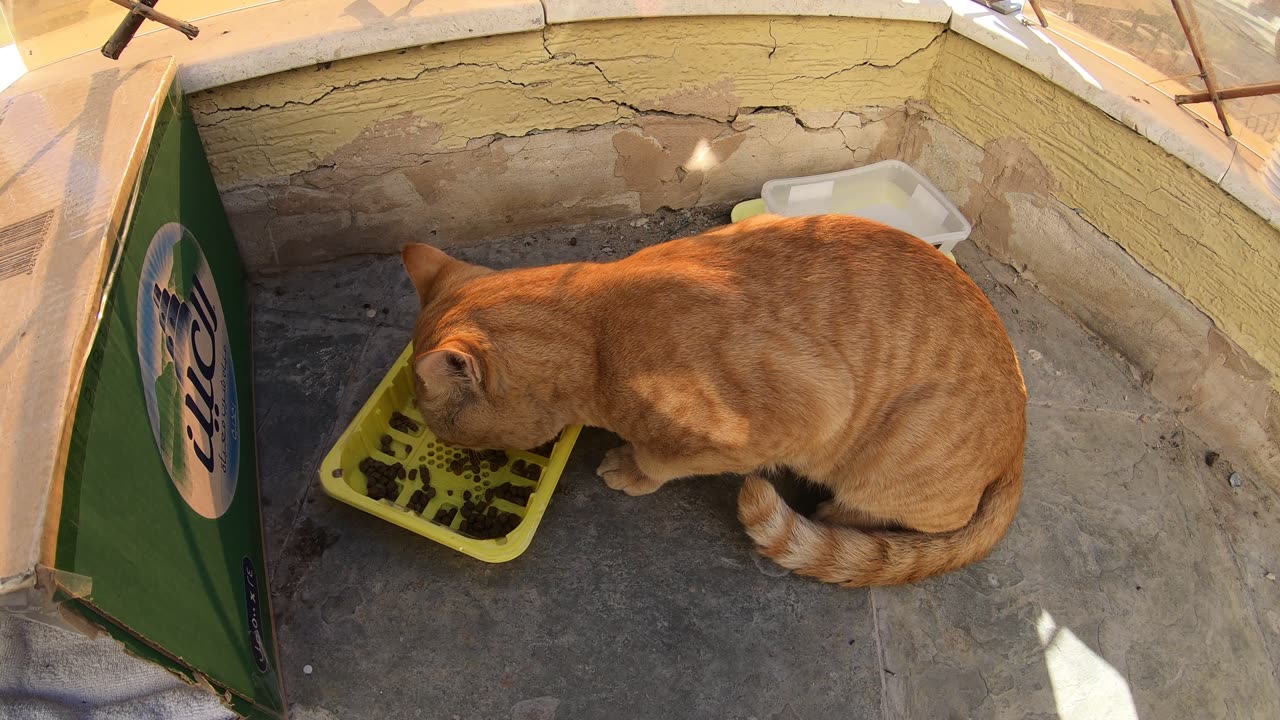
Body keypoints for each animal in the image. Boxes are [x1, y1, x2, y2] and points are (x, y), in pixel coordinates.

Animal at [404, 212, 1024, 584]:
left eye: (446, 432)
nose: (451, 446)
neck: (595, 333)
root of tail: (1020, 447)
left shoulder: (806, 411)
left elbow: (664, 457)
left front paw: (632, 469)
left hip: (891, 451)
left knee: (907, 520)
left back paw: (837, 513)